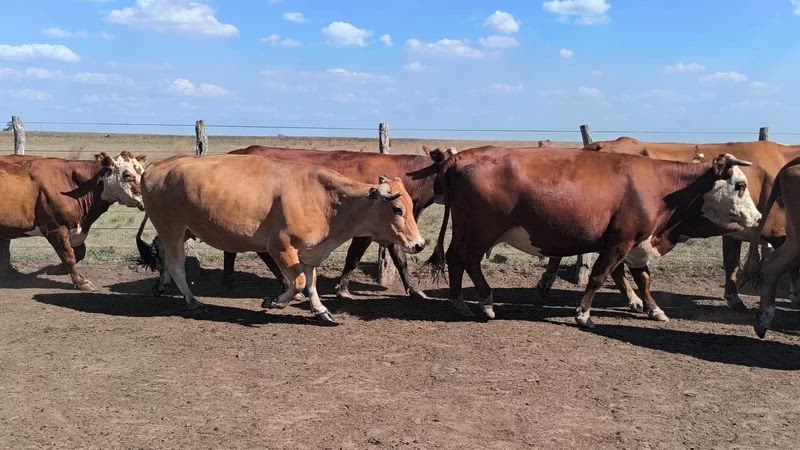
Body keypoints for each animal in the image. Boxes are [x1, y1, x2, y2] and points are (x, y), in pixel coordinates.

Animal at [0, 152, 146, 289]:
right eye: (127, 175)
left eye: (143, 173)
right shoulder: (56, 228)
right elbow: (69, 255)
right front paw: (81, 282)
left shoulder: (76, 231)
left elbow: (80, 253)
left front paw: (57, 269)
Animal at [136, 154, 425, 324]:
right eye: (397, 209)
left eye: (411, 206)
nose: (419, 244)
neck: (326, 198)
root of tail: (156, 166)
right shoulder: (280, 246)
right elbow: (298, 282)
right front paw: (275, 301)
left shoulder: (310, 251)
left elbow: (311, 281)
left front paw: (321, 310)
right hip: (171, 227)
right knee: (176, 265)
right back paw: (193, 301)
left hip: (179, 230)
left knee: (164, 257)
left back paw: (161, 286)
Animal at [221, 145, 456, 299]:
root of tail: (237, 153)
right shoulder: (365, 232)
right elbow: (353, 258)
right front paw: (342, 289)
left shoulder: (392, 230)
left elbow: (400, 259)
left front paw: (414, 289)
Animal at [428, 146, 761, 327]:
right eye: (740, 185)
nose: (757, 217)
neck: (662, 188)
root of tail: (460, 158)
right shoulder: (619, 242)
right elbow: (599, 276)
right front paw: (584, 314)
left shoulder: (638, 242)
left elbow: (644, 279)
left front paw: (654, 309)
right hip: (481, 230)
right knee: (468, 259)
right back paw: (485, 301)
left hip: (466, 229)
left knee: (455, 259)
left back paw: (459, 302)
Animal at [536, 137, 800, 311]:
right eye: (740, 186)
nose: (757, 217)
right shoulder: (778, 232)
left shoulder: (735, 231)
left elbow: (731, 262)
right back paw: (632, 299)